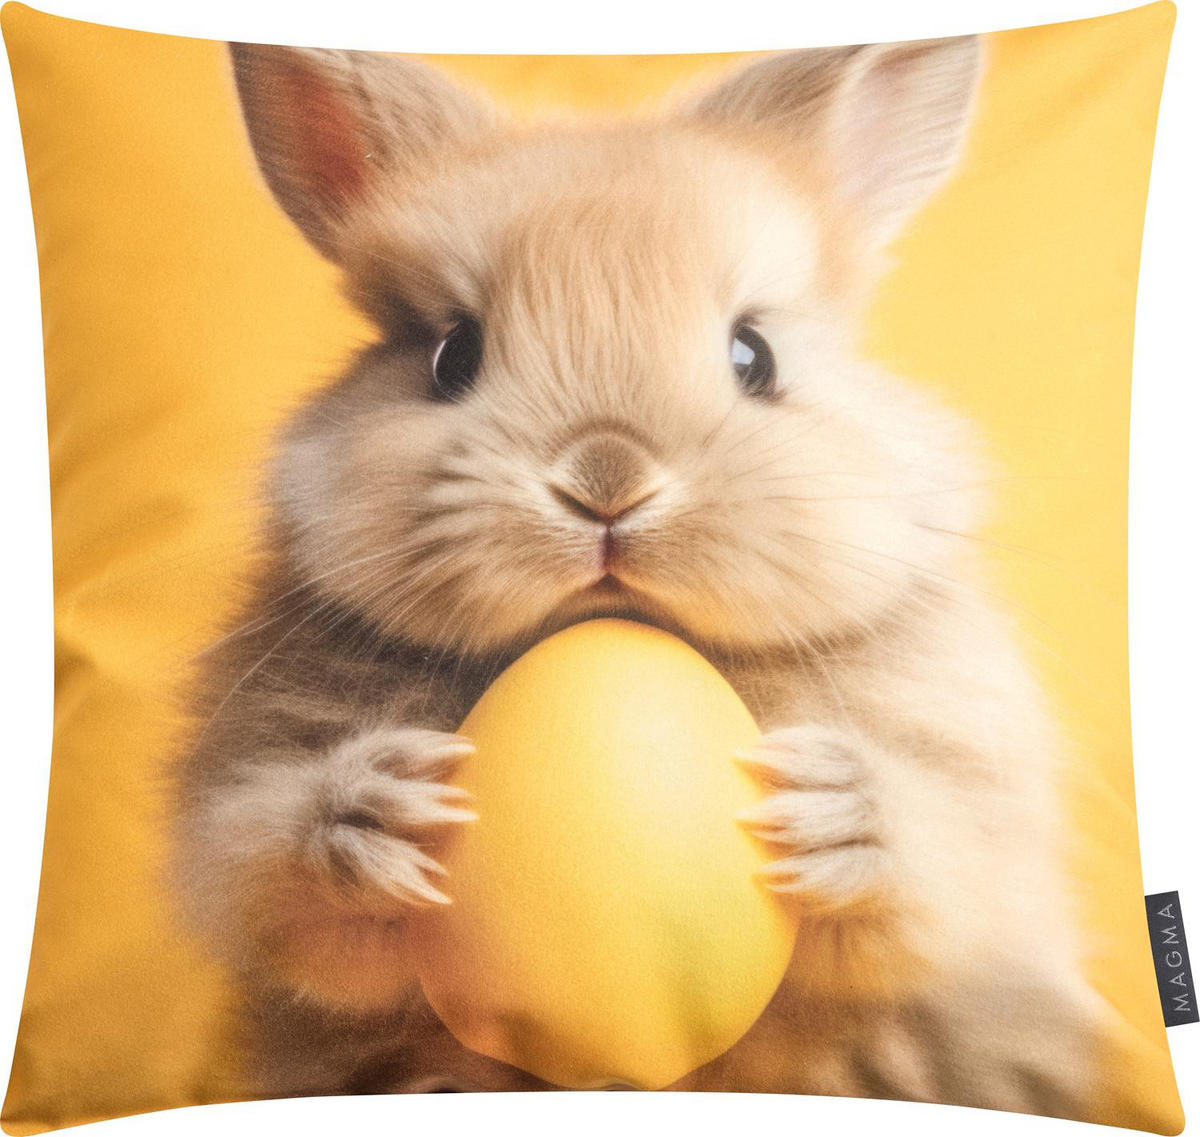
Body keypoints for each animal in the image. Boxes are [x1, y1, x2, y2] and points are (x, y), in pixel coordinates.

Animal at [173, 35, 1111, 1119]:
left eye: (755, 355)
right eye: (453, 355)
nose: (606, 478)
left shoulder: (981, 826)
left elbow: (935, 884)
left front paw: (835, 810)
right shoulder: (245, 823)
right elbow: (277, 886)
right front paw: (375, 810)